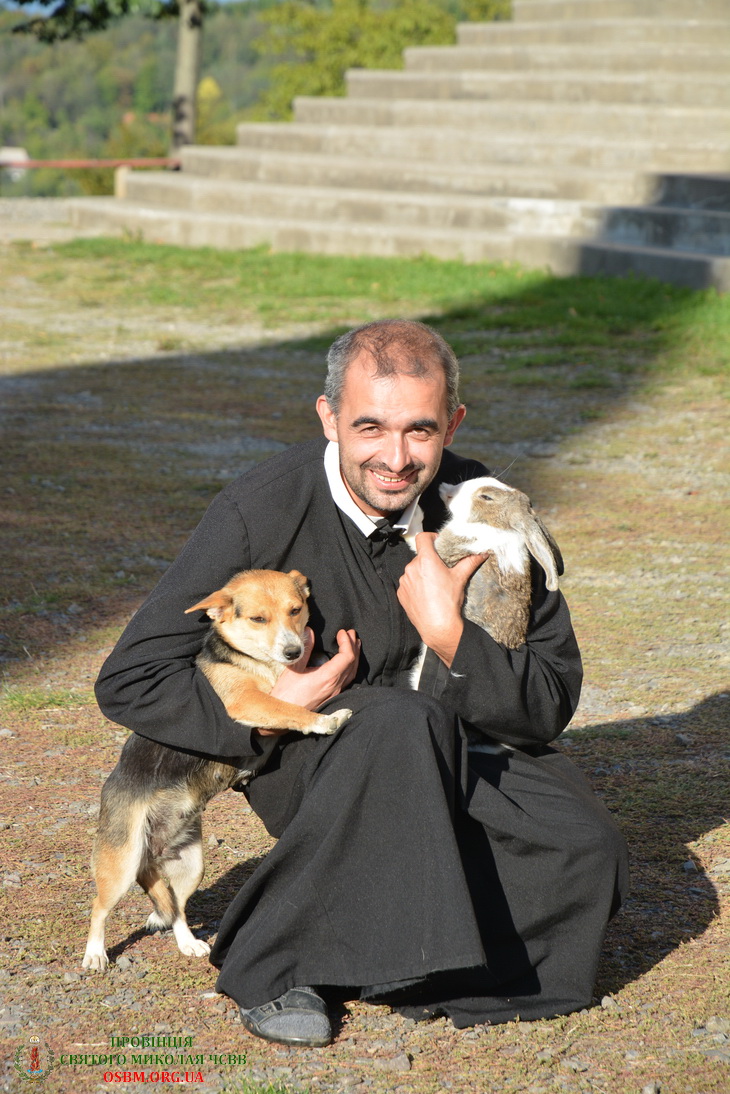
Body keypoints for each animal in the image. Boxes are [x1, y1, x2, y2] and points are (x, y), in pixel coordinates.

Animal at [82, 569, 352, 970]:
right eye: (258, 619)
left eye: (296, 610)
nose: (293, 651)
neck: (257, 662)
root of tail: (152, 854)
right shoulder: (247, 701)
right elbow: (291, 709)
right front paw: (323, 720)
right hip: (122, 863)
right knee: (99, 908)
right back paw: (95, 953)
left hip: (191, 866)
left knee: (175, 909)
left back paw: (188, 943)